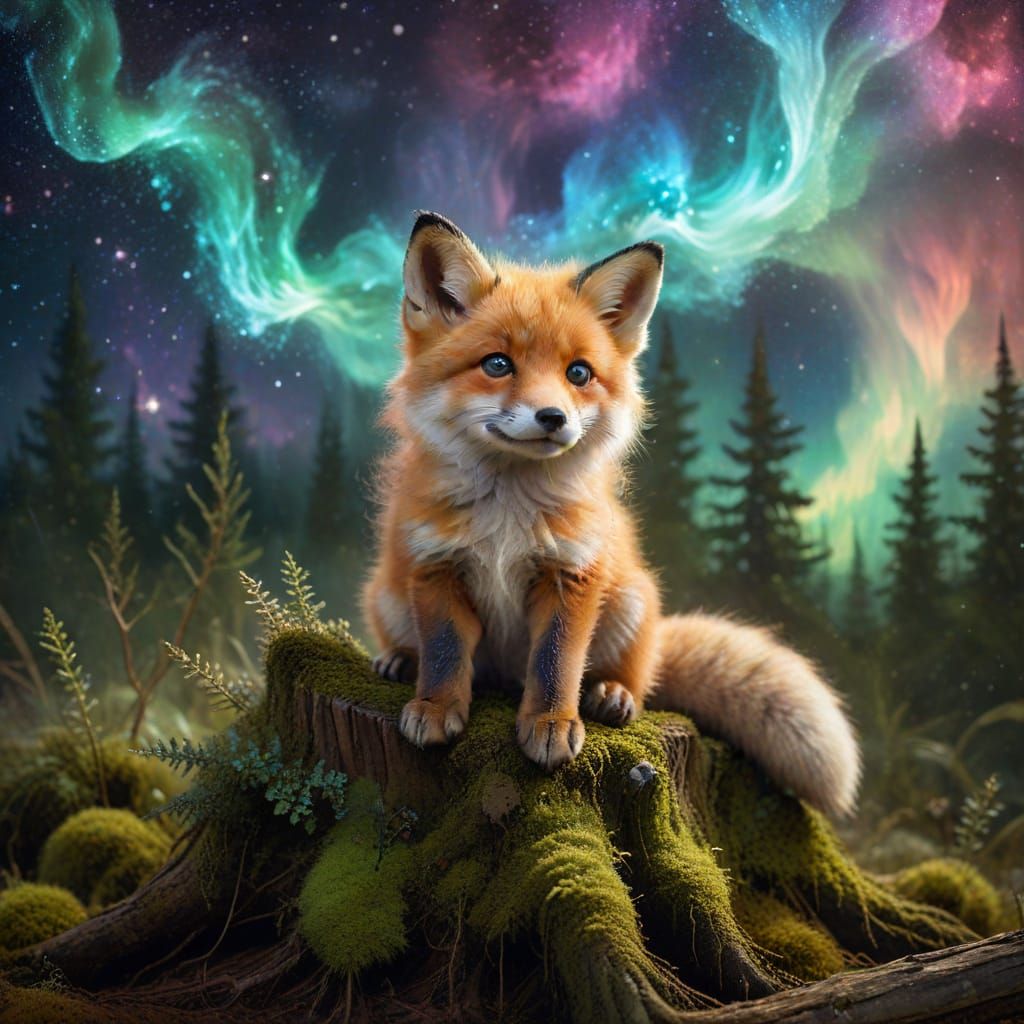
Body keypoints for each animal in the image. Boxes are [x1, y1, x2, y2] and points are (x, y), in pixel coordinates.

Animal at [362, 211, 861, 817]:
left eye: (578, 373)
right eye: (497, 364)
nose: (553, 417)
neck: (507, 516)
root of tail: (502, 679)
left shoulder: (573, 573)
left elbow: (555, 664)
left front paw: (551, 724)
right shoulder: (435, 565)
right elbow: (443, 651)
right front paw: (435, 707)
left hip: (629, 600)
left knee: (632, 675)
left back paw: (612, 696)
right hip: (388, 593)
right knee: (432, 652)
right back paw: (399, 662)